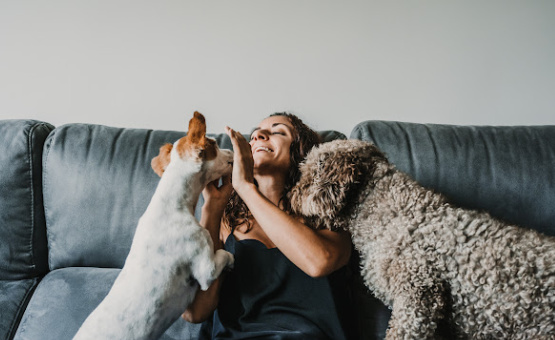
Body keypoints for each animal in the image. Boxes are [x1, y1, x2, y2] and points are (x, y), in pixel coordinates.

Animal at [73, 112, 235, 340]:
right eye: (214, 144)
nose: (231, 150)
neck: (173, 204)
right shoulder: (206, 269)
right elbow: (223, 255)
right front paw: (231, 260)